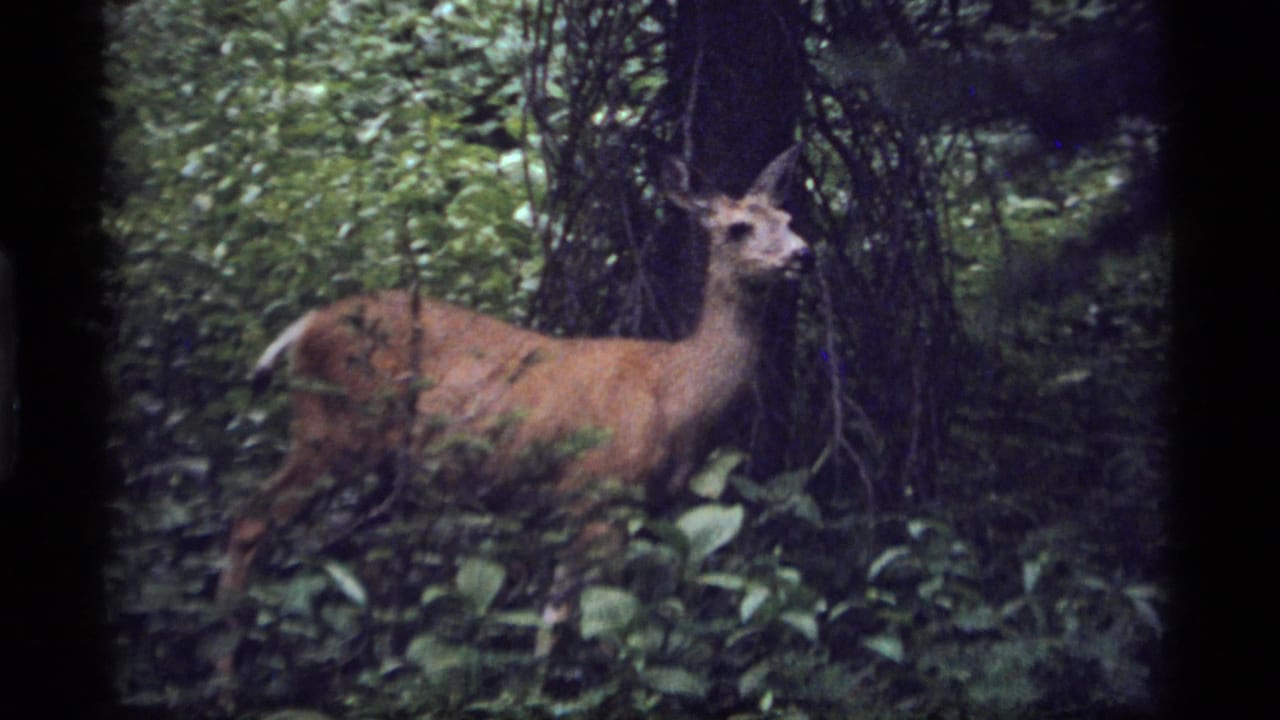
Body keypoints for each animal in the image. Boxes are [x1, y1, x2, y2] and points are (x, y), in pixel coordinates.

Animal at [215, 145, 811, 685]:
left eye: (787, 217)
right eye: (738, 227)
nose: (802, 253)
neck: (676, 390)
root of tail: (306, 325)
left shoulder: (631, 506)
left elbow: (568, 612)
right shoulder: (600, 493)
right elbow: (594, 618)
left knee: (368, 554)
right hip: (331, 432)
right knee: (250, 519)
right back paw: (227, 677)